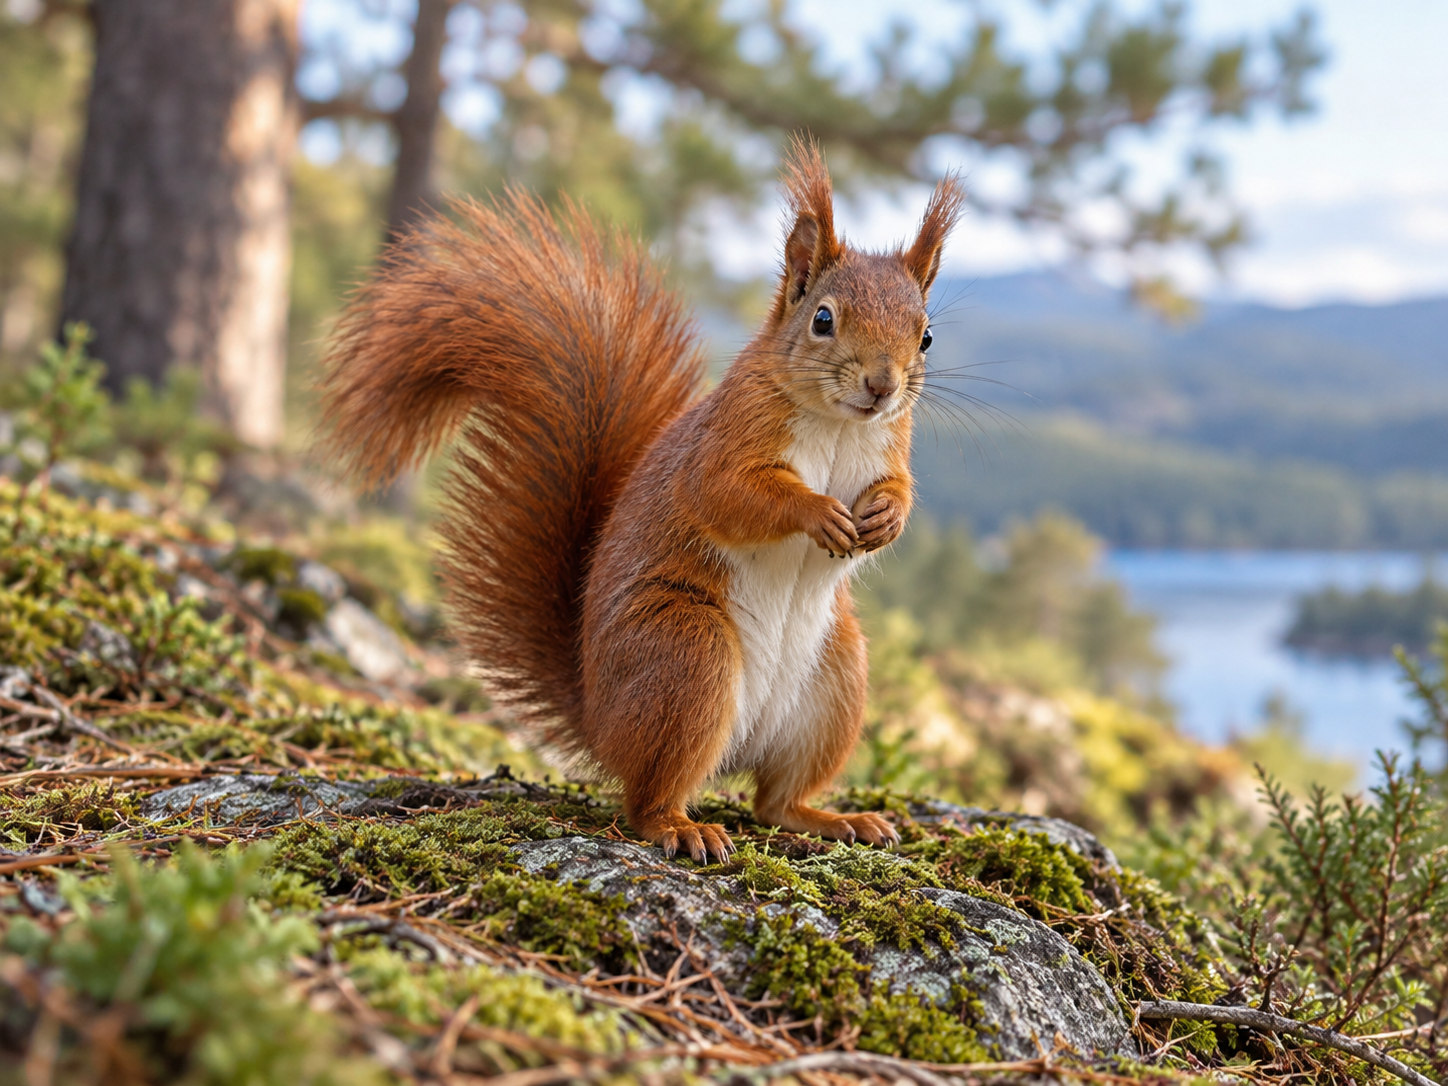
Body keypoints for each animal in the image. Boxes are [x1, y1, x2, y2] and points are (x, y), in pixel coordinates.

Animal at [319, 140, 964, 863]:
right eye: (823, 319)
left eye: (926, 336)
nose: (882, 386)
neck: (838, 424)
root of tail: (599, 721)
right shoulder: (724, 443)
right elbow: (731, 495)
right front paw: (818, 512)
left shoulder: (889, 448)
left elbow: (897, 488)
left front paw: (885, 517)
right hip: (686, 654)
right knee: (648, 798)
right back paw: (682, 828)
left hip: (836, 681)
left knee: (774, 802)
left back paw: (833, 819)